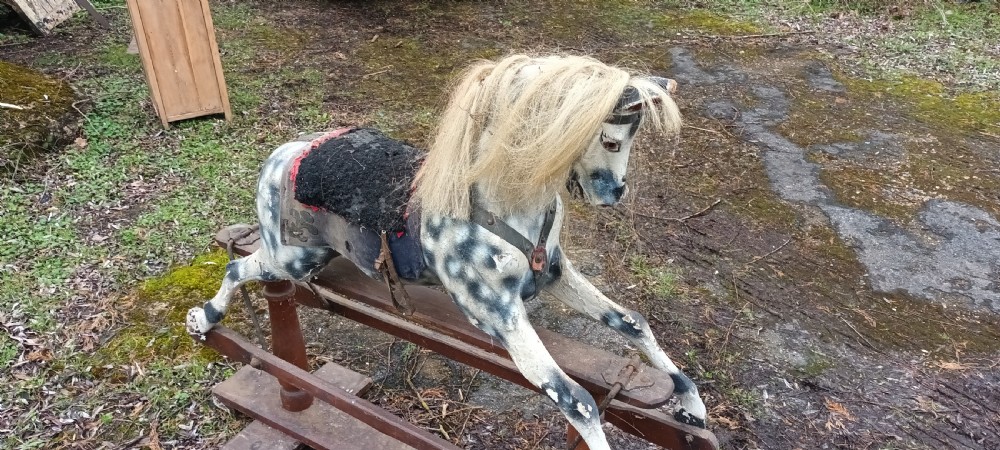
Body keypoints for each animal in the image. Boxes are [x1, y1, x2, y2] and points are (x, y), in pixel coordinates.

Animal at [186, 54, 707, 449]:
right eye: (611, 139)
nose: (614, 193)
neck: (497, 203)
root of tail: (283, 153)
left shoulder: (555, 274)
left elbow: (633, 322)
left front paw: (692, 406)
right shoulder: (498, 313)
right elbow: (574, 398)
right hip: (290, 256)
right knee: (238, 266)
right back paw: (202, 320)